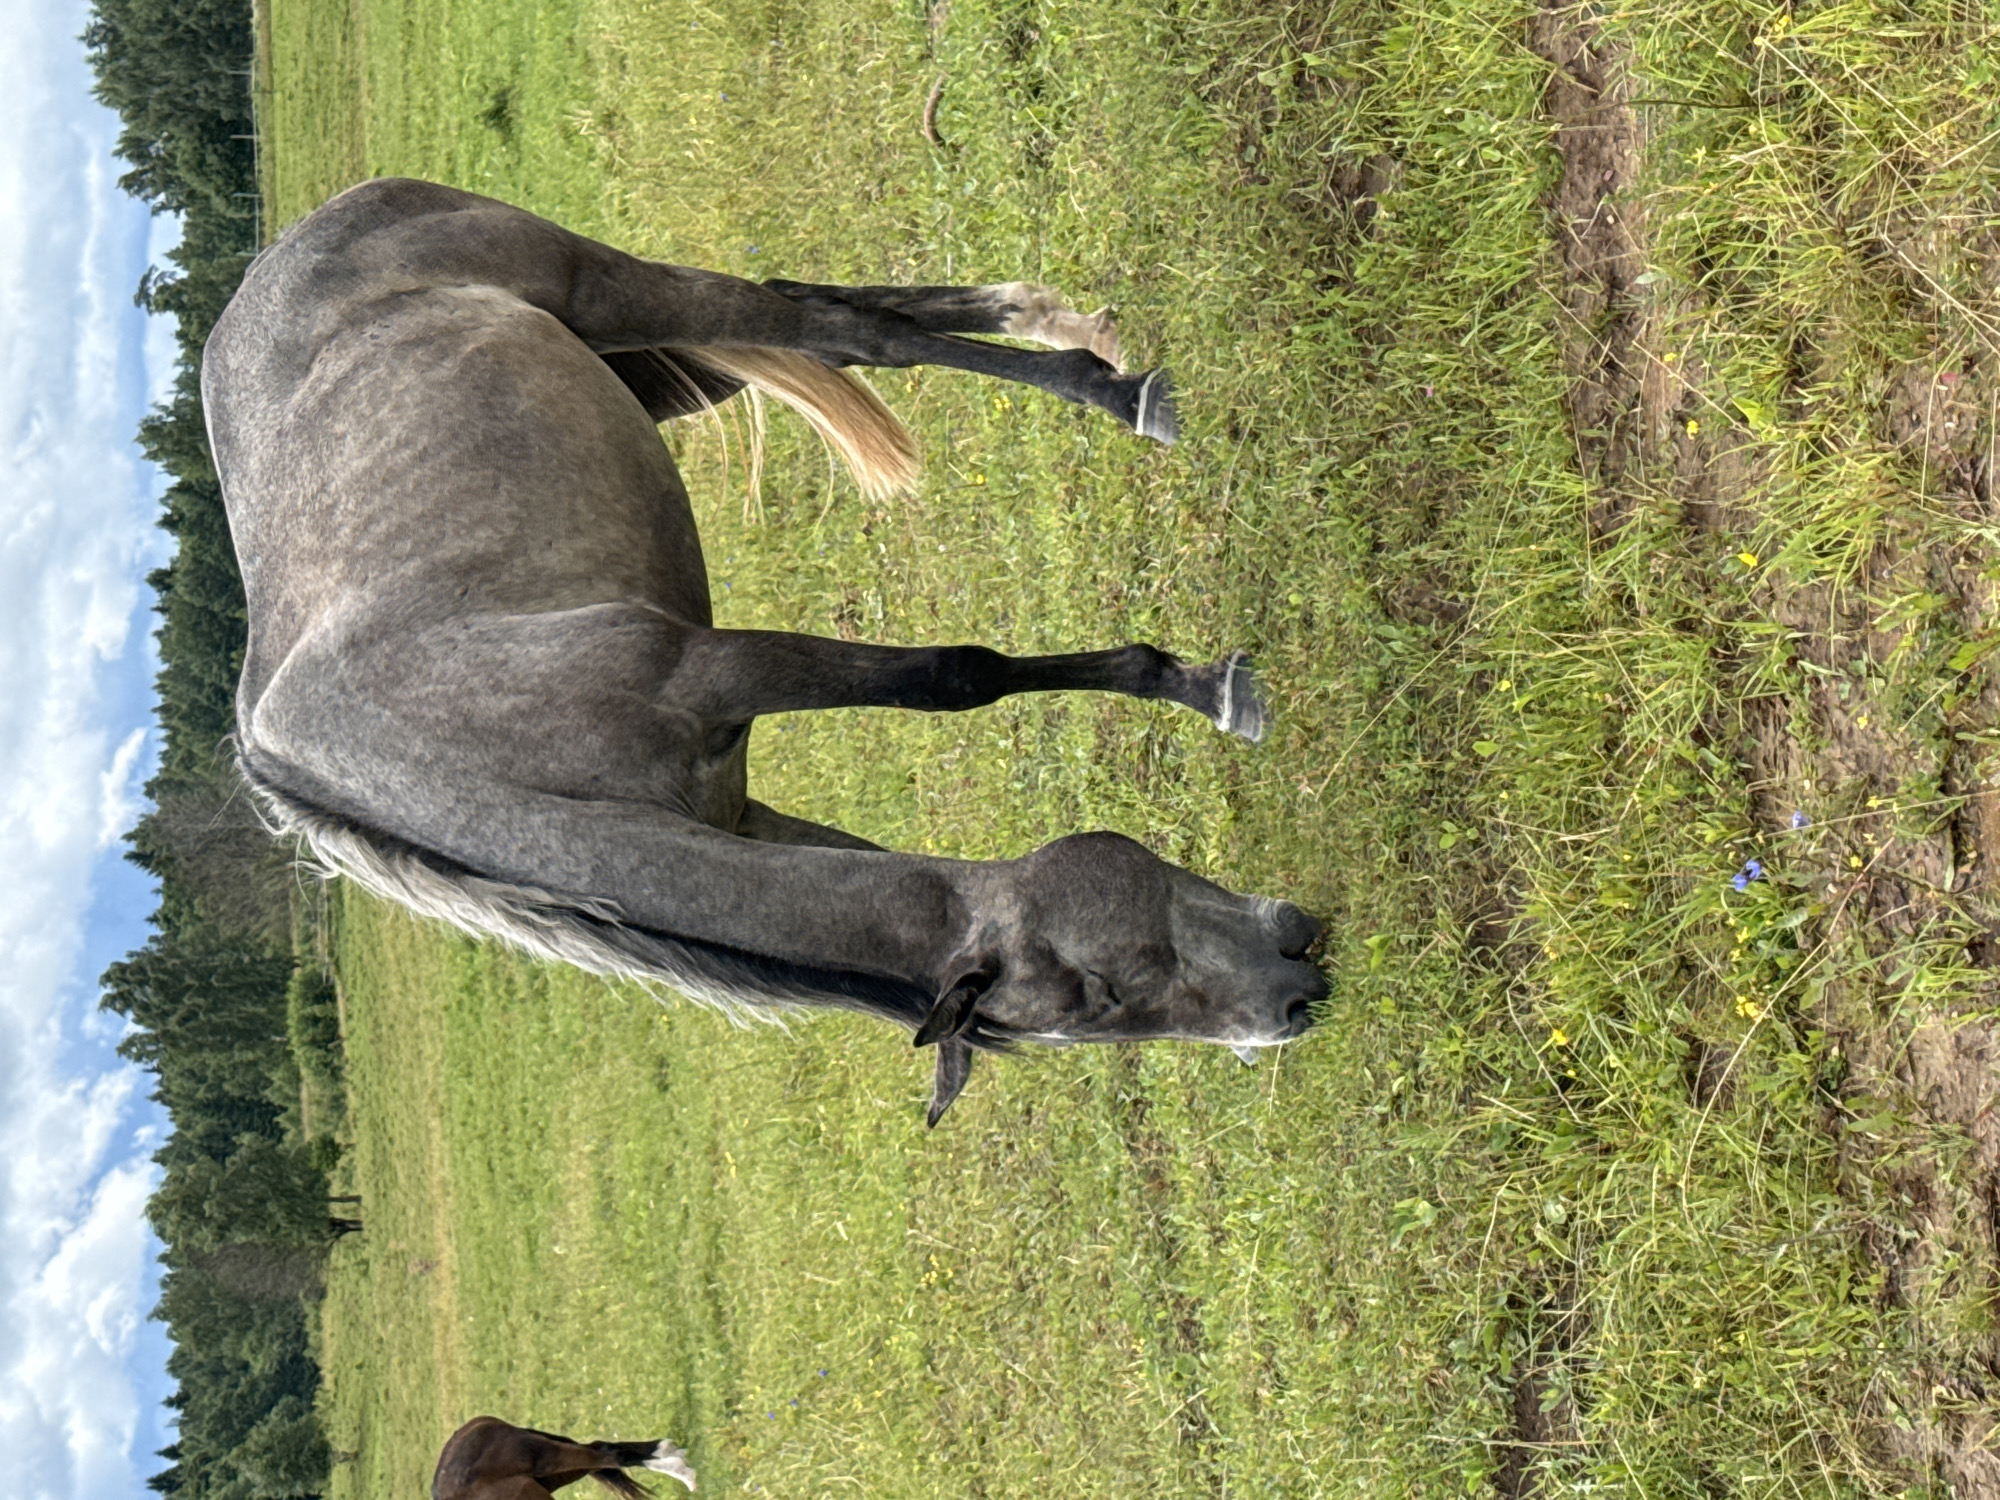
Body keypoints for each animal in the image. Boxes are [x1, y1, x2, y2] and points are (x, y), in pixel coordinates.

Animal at [204, 177, 1325, 1125]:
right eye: (1100, 997)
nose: (1291, 998)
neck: (480, 775)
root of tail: (296, 242)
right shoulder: (743, 811)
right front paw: (1194, 683)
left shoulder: (707, 671)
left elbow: (951, 676)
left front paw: (1201, 687)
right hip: (645, 358)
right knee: (832, 324)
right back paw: (1057, 326)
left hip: (603, 292)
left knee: (840, 330)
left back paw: (1109, 385)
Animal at [432, 1416, 696, 1498]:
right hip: (555, 1473)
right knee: (602, 1449)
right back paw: (670, 1453)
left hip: (549, 1458)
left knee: (607, 1454)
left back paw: (684, 1472)